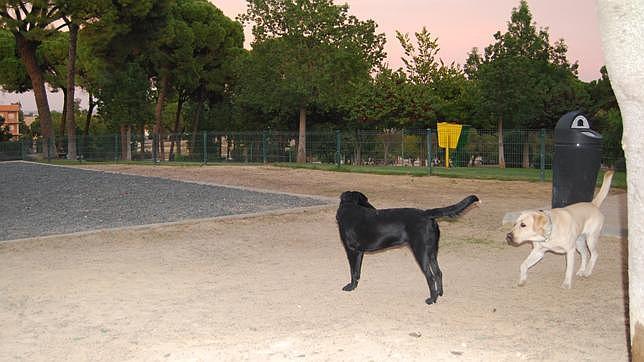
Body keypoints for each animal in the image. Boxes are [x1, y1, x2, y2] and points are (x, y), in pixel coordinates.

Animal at [338, 191, 478, 304]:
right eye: (365, 200)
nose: (375, 210)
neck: (350, 210)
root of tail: (426, 214)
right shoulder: (359, 252)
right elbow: (357, 271)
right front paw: (355, 286)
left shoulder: (351, 250)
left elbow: (352, 271)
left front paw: (350, 287)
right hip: (432, 252)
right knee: (438, 272)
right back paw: (439, 294)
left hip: (421, 251)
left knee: (430, 276)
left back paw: (431, 300)